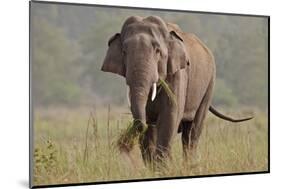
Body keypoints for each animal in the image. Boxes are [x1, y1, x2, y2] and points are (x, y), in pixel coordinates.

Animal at [100, 16, 252, 166]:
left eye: (157, 51)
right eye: (124, 52)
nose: (123, 143)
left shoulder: (178, 75)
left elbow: (170, 115)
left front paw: (163, 167)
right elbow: (150, 125)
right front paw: (154, 167)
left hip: (210, 83)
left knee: (192, 132)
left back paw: (189, 165)